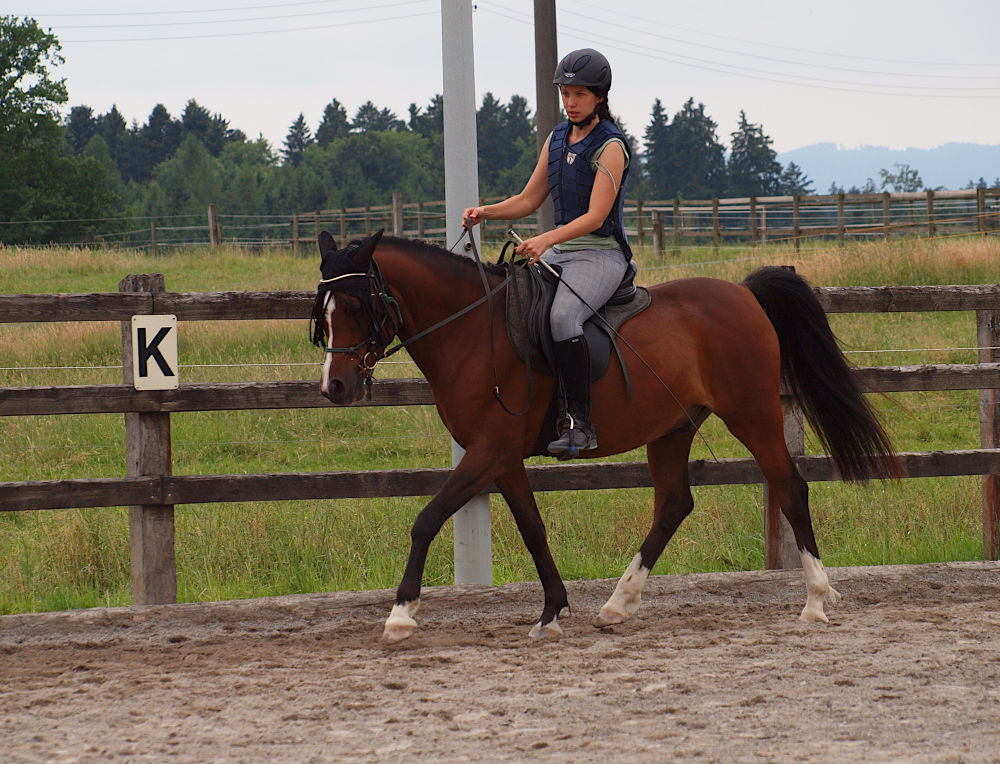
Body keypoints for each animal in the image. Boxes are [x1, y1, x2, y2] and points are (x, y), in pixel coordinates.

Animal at [312, 230, 900, 640]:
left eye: (359, 305)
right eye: (324, 311)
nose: (334, 386)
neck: (473, 330)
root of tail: (744, 294)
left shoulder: (488, 451)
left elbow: (427, 519)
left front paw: (401, 613)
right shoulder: (503, 458)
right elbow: (533, 529)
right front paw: (552, 611)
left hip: (752, 414)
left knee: (789, 487)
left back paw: (816, 600)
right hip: (673, 428)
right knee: (674, 504)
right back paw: (618, 604)